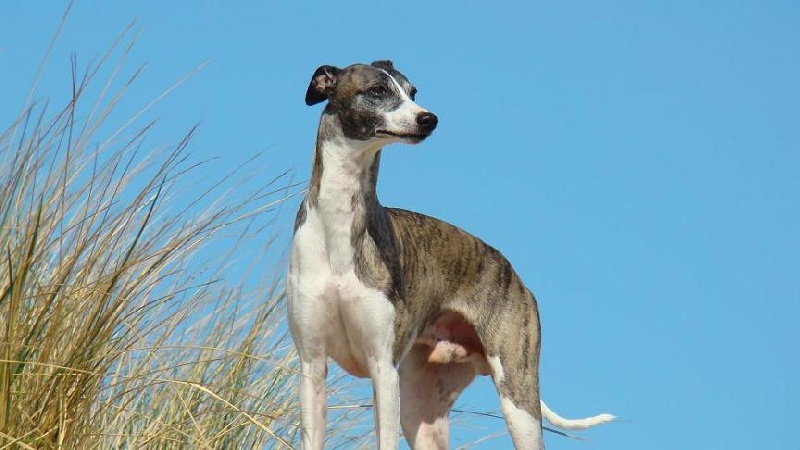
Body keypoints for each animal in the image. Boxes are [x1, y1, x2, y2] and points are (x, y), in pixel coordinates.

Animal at [288, 60, 612, 450]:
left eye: (413, 91)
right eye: (378, 90)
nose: (429, 119)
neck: (337, 227)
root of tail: (516, 276)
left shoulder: (383, 367)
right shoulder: (311, 365)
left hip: (518, 395)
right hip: (420, 411)